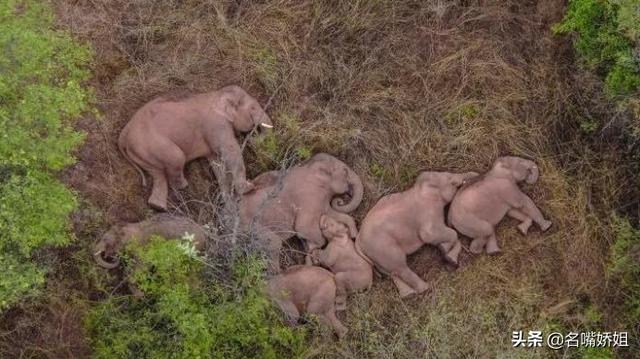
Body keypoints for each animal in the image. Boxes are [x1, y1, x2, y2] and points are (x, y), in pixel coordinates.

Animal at [117, 86, 272, 212]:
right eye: (253, 108)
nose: (252, 136)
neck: (217, 94)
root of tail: (123, 134)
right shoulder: (216, 124)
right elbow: (230, 150)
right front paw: (249, 188)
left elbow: (217, 163)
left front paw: (229, 202)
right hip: (152, 145)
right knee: (176, 158)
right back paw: (183, 187)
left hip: (142, 153)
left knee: (158, 174)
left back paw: (158, 207)